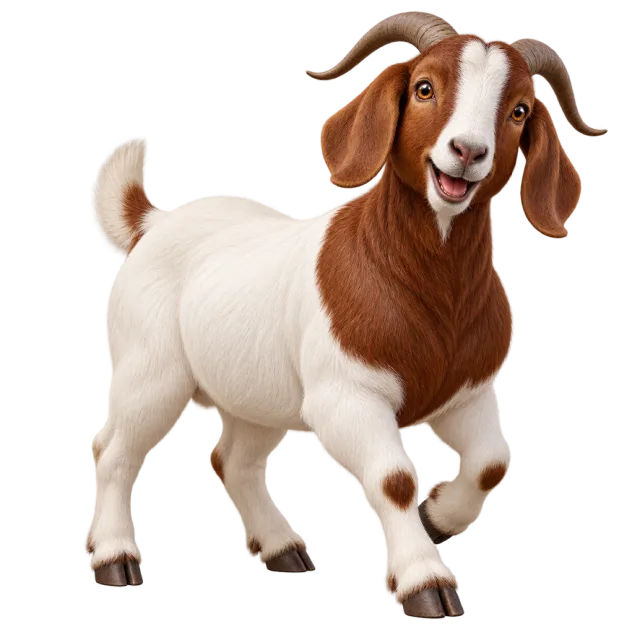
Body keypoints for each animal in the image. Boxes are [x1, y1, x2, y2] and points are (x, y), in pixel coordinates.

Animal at [87, 10, 607, 617]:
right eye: (424, 88)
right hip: (152, 371)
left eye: (520, 110)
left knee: (233, 459)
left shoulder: (467, 392)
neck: (432, 291)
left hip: (258, 394)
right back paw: (114, 559)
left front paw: (438, 517)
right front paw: (426, 583)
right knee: (114, 450)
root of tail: (150, 222)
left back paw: (282, 549)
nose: (468, 150)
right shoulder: (346, 396)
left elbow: (491, 462)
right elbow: (394, 479)